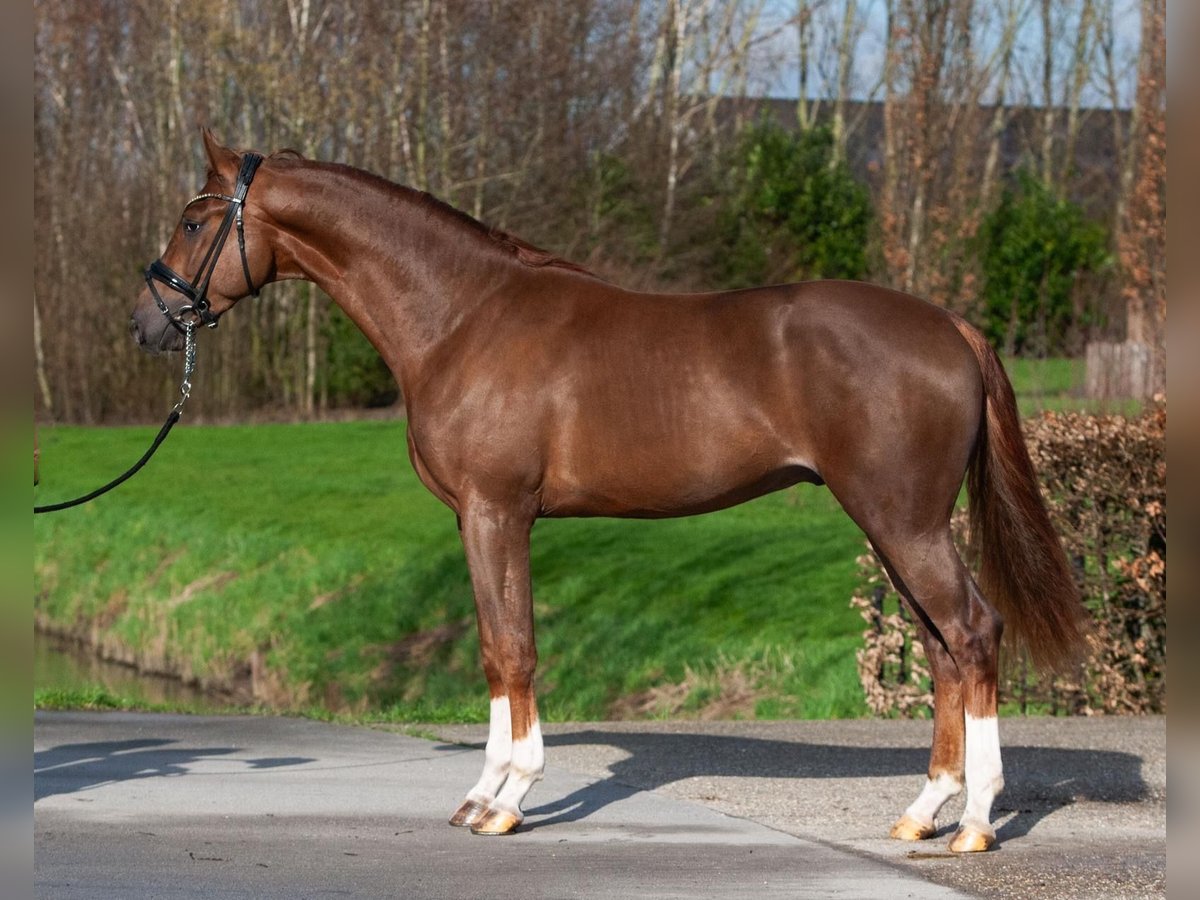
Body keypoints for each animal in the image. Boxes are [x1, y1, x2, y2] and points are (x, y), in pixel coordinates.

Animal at [131, 132, 1089, 854]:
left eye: (192, 219)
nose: (148, 322)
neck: (462, 315)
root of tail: (951, 325)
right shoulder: (487, 518)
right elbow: (499, 647)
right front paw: (487, 792)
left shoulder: (496, 513)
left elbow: (508, 648)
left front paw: (503, 799)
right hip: (892, 527)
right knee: (941, 649)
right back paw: (923, 813)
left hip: (903, 522)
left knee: (974, 632)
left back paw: (975, 823)